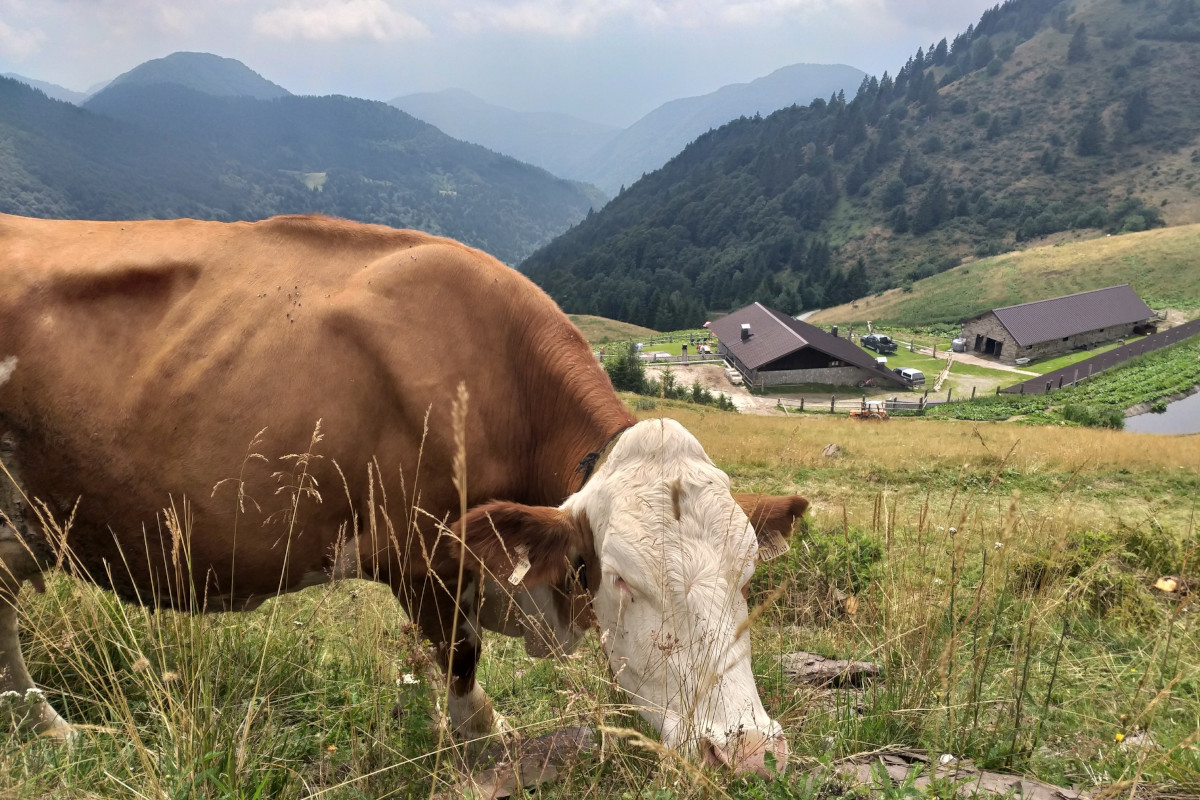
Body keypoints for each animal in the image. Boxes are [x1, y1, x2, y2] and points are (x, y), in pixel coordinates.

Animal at [2, 214, 806, 777]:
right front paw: (486, 748)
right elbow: (461, 664)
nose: (747, 753)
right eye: (624, 583)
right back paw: (51, 727)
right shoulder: (421, 555)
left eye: (747, 576)